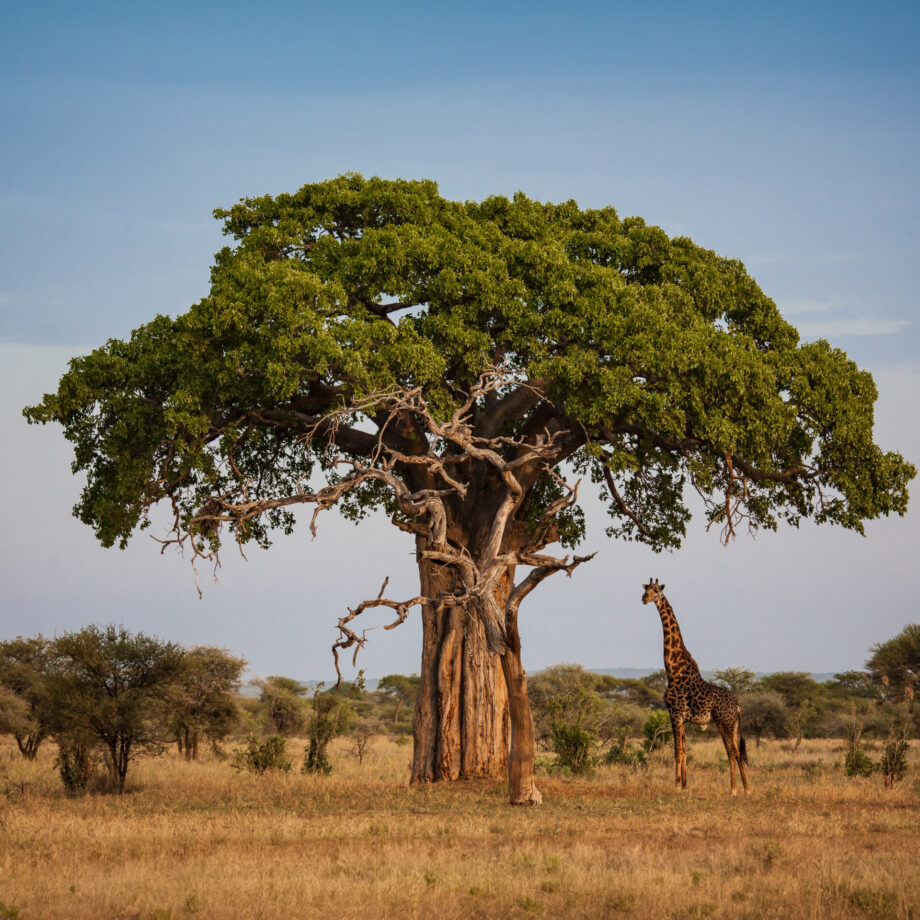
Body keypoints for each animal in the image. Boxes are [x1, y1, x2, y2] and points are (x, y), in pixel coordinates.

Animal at [641, 579, 749, 795]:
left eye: (656, 590)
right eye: (645, 589)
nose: (644, 598)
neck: (673, 670)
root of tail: (738, 706)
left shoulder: (675, 713)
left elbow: (677, 750)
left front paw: (676, 786)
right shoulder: (682, 717)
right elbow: (684, 749)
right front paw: (684, 785)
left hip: (724, 723)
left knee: (732, 752)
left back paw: (733, 790)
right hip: (733, 725)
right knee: (738, 751)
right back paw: (747, 789)